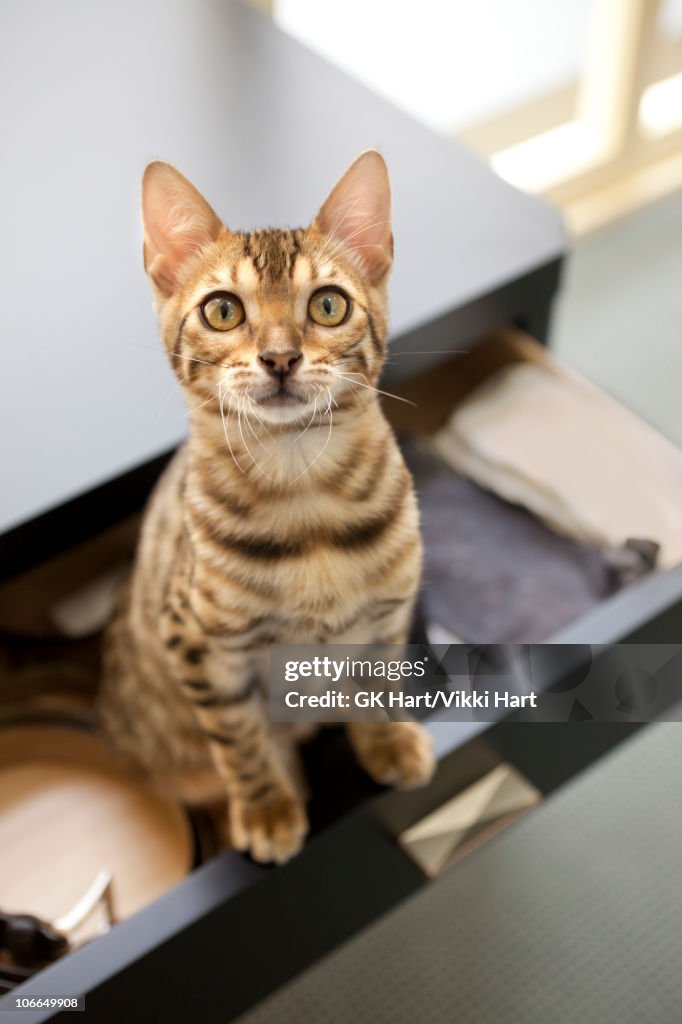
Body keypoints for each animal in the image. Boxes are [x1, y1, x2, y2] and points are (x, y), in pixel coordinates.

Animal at [98, 149, 432, 864]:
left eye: (329, 304)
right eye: (222, 311)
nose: (281, 358)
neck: (303, 493)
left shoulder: (390, 613)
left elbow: (379, 685)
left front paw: (387, 740)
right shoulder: (197, 644)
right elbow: (240, 736)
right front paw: (265, 807)